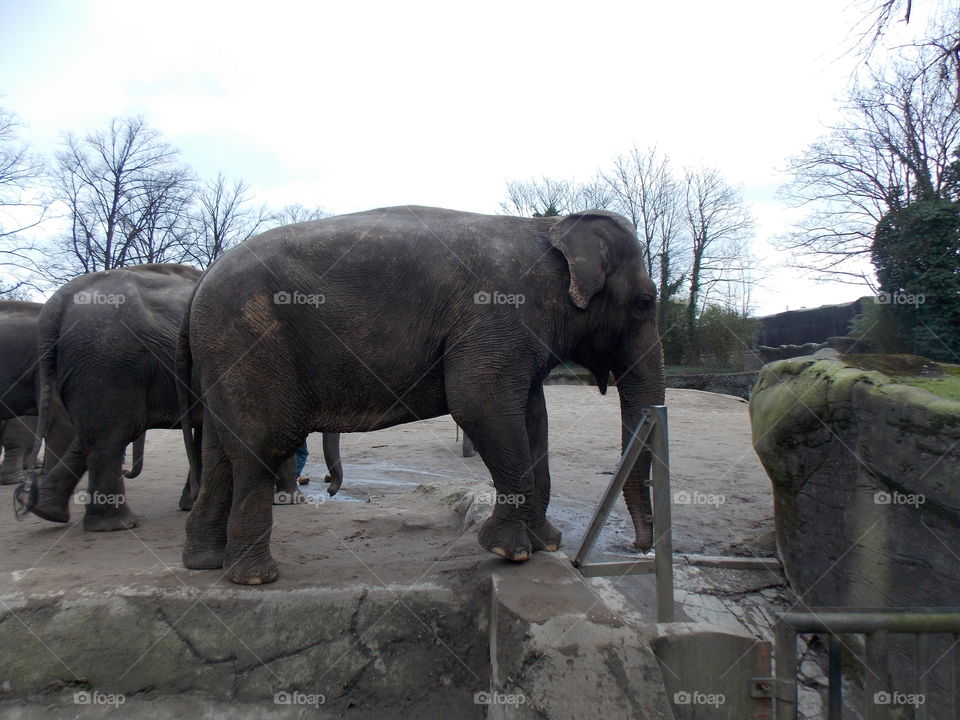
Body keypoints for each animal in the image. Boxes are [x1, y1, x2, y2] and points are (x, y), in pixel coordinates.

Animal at [176, 204, 664, 584]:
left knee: (220, 453)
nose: (640, 549)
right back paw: (254, 578)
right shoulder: (497, 315)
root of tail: (200, 283)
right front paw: (510, 552)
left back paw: (205, 563)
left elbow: (533, 417)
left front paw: (545, 544)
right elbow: (478, 402)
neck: (550, 227)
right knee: (259, 447)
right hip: (250, 342)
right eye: (645, 303)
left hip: (223, 357)